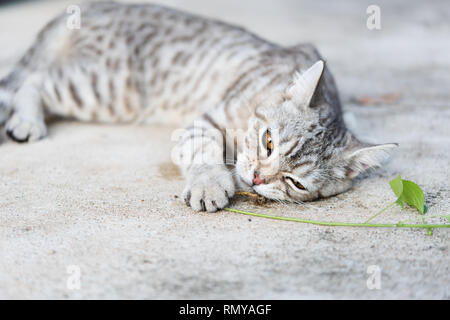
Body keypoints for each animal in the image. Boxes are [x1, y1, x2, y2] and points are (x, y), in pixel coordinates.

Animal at [0, 2, 396, 212]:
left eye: (295, 182)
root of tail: (89, 7)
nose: (257, 178)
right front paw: (209, 183)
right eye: (268, 142)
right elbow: (203, 151)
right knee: (33, 81)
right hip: (103, 87)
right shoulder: (205, 120)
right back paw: (28, 121)